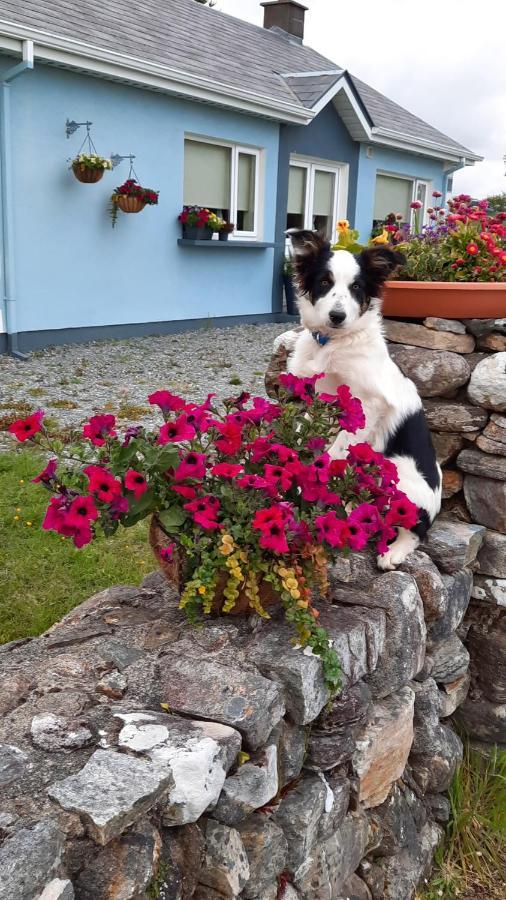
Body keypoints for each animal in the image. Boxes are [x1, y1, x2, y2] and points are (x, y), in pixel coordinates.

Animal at [274, 232, 440, 568]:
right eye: (324, 282)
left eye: (357, 288)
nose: (337, 316)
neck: (332, 343)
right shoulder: (319, 400)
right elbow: (305, 436)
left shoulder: (370, 403)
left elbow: (336, 446)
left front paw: (308, 479)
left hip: (396, 475)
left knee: (415, 528)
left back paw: (393, 552)